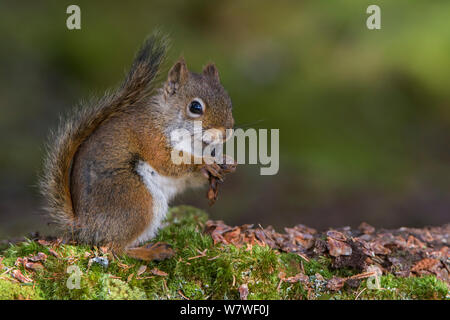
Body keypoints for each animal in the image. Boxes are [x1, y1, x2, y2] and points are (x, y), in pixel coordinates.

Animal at [39, 32, 236, 262]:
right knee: (113, 248)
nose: (226, 132)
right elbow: (167, 163)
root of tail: (83, 225)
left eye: (229, 101)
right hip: (135, 198)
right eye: (195, 107)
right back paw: (151, 252)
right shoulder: (150, 139)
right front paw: (204, 163)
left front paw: (227, 163)